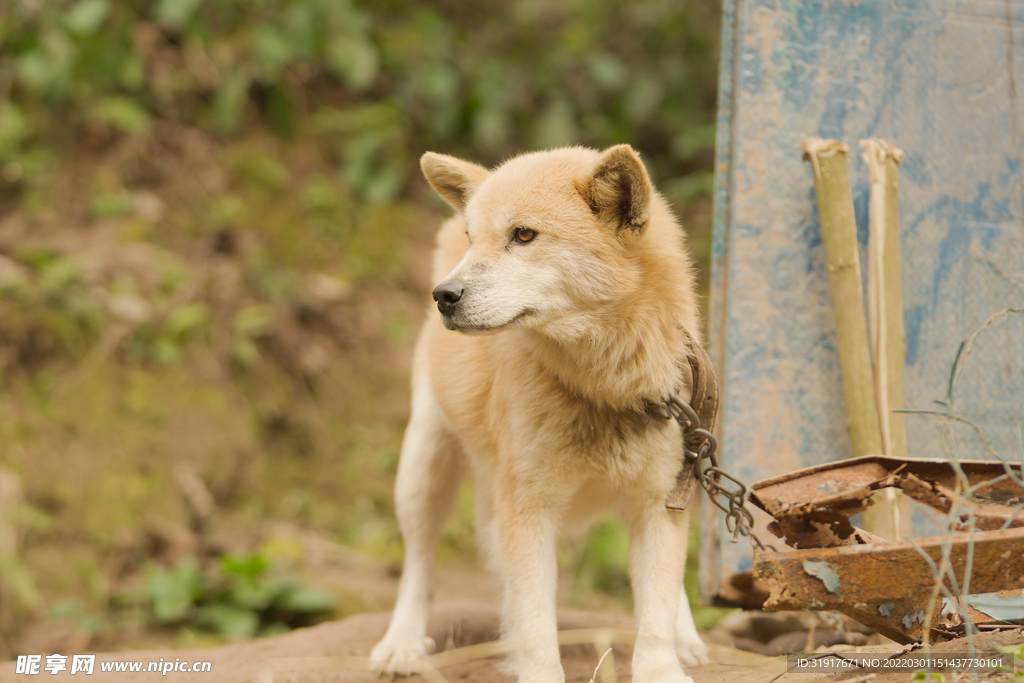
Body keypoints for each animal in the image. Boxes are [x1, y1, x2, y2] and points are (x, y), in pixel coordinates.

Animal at [370, 145, 712, 683]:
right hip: (423, 469)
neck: (598, 391)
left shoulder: (659, 502)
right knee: (419, 567)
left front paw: (664, 663)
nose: (444, 296)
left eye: (524, 235)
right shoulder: (526, 510)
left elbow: (655, 606)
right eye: (474, 238)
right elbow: (535, 624)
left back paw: (687, 639)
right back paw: (402, 644)